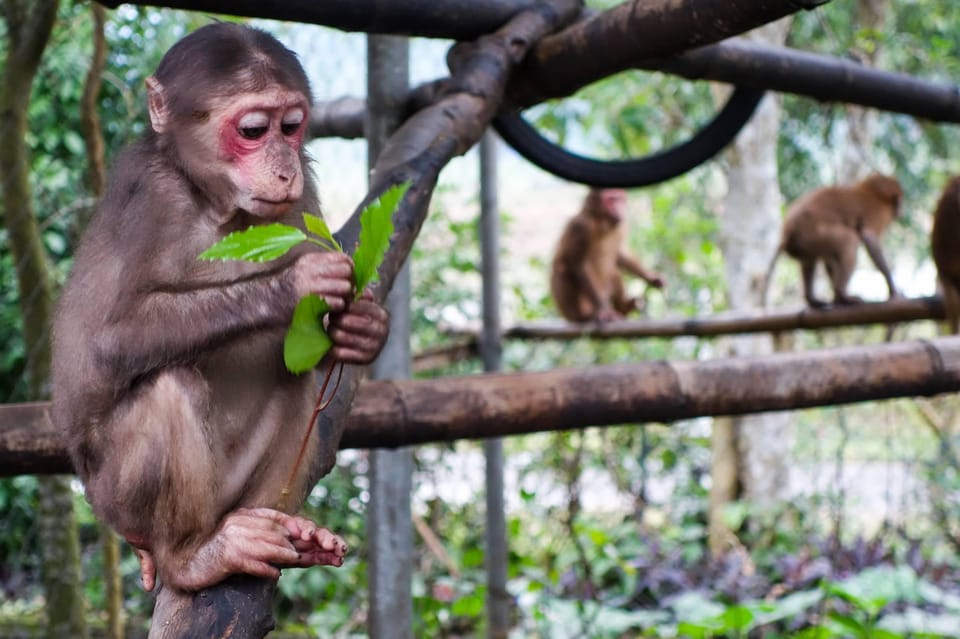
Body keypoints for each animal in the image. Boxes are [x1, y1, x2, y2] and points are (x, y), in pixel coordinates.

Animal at [51, 23, 390, 596]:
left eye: (292, 127)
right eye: (253, 130)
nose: (285, 168)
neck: (217, 205)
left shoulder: (301, 204)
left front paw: (364, 329)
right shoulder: (154, 195)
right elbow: (111, 341)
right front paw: (296, 285)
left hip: (232, 490)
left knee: (292, 378)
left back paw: (284, 529)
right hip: (115, 500)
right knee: (170, 385)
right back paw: (188, 556)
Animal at [552, 188, 664, 322]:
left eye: (620, 199)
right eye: (611, 199)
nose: (620, 208)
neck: (602, 222)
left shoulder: (621, 225)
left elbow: (620, 254)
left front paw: (650, 277)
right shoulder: (580, 227)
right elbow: (577, 264)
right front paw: (602, 309)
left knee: (613, 272)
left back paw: (623, 308)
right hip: (574, 309)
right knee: (563, 268)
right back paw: (587, 315)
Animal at [764, 171, 900, 308]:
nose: (899, 209)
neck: (871, 191)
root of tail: (787, 232)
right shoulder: (879, 214)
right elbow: (870, 240)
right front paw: (892, 289)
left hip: (804, 244)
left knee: (811, 259)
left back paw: (813, 299)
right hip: (811, 235)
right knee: (848, 240)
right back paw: (842, 295)